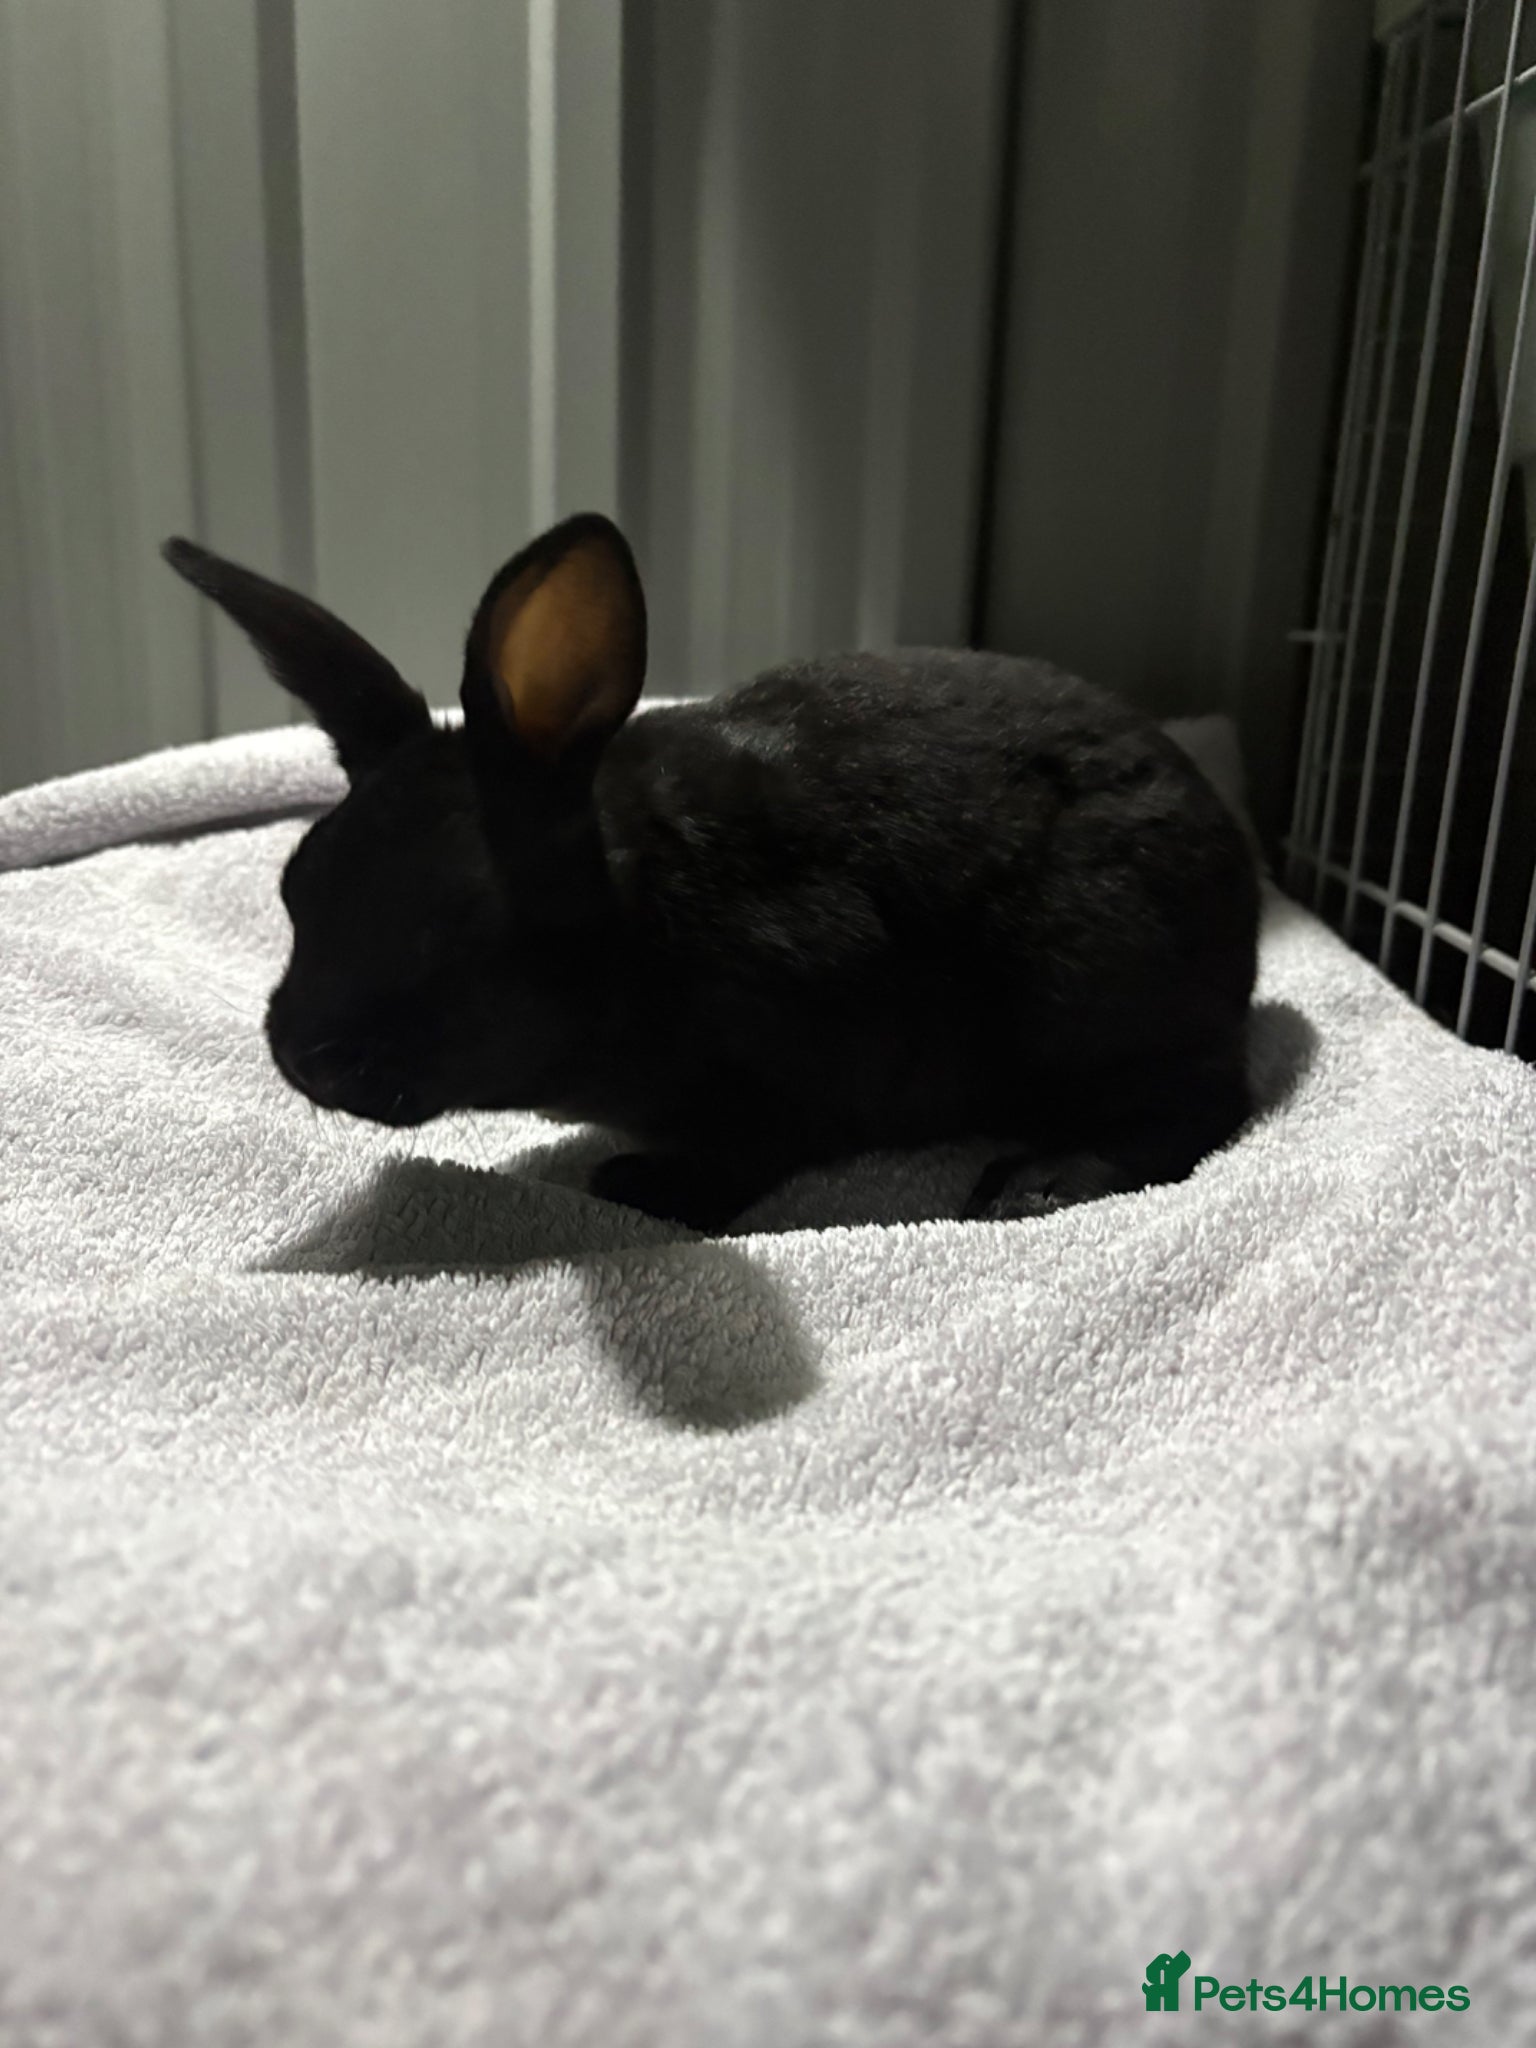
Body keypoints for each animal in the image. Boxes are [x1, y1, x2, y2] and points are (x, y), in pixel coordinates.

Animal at [161, 512, 1260, 1232]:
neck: (639, 922)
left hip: (1099, 992)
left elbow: (752, 1151)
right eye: (293, 888)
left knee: (1196, 1112)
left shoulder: (807, 1052)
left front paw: (644, 1190)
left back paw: (1034, 1183)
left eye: (460, 926)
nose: (300, 1055)